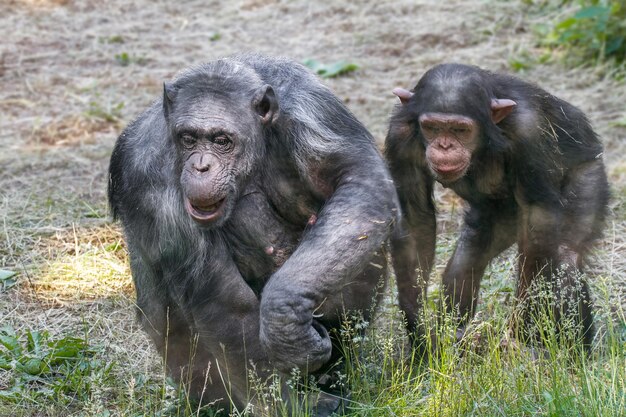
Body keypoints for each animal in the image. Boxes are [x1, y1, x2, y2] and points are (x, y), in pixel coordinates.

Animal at [109, 53, 398, 414]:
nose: (201, 166)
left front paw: (284, 319)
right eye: (188, 139)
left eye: (221, 141)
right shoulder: (148, 177)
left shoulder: (315, 112)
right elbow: (227, 304)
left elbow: (358, 180)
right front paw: (296, 405)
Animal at [382, 63, 608, 352]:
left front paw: (521, 330)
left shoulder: (530, 131)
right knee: (465, 265)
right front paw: (419, 327)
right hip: (497, 216)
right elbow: (414, 217)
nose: (445, 145)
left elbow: (539, 219)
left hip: (589, 171)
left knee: (566, 257)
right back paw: (455, 338)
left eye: (460, 130)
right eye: (431, 127)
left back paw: (571, 353)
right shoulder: (399, 137)